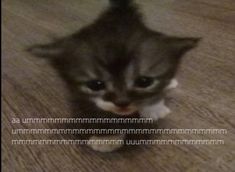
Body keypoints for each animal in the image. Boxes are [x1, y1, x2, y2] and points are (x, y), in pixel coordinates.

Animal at [27, 0, 200, 152]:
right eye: (95, 85)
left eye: (144, 81)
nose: (122, 102)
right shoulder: (81, 98)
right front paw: (106, 138)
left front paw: (154, 107)